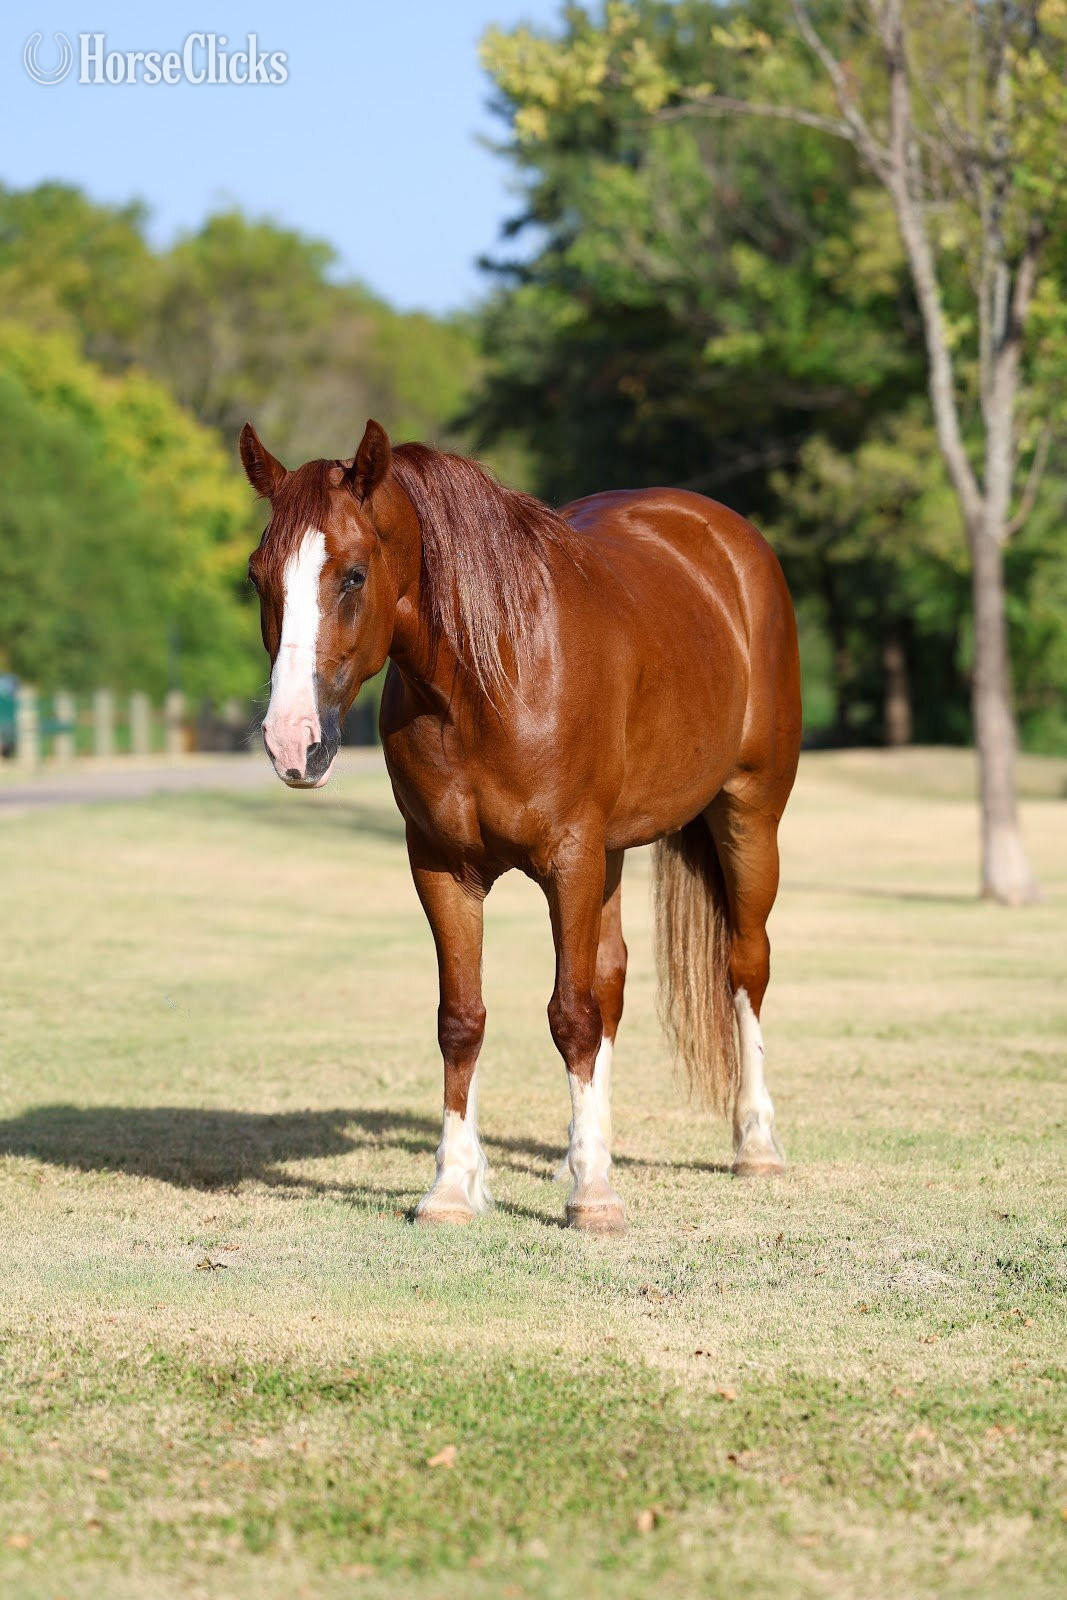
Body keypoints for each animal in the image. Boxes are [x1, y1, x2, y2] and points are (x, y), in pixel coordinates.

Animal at [241, 418, 802, 1233]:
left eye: (352, 574)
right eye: (259, 577)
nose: (293, 743)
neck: (487, 678)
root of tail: (726, 537)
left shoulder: (568, 859)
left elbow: (570, 1014)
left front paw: (593, 1197)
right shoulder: (442, 867)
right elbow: (464, 1018)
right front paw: (452, 1187)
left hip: (748, 815)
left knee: (743, 967)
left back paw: (754, 1145)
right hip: (613, 854)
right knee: (612, 982)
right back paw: (589, 1144)